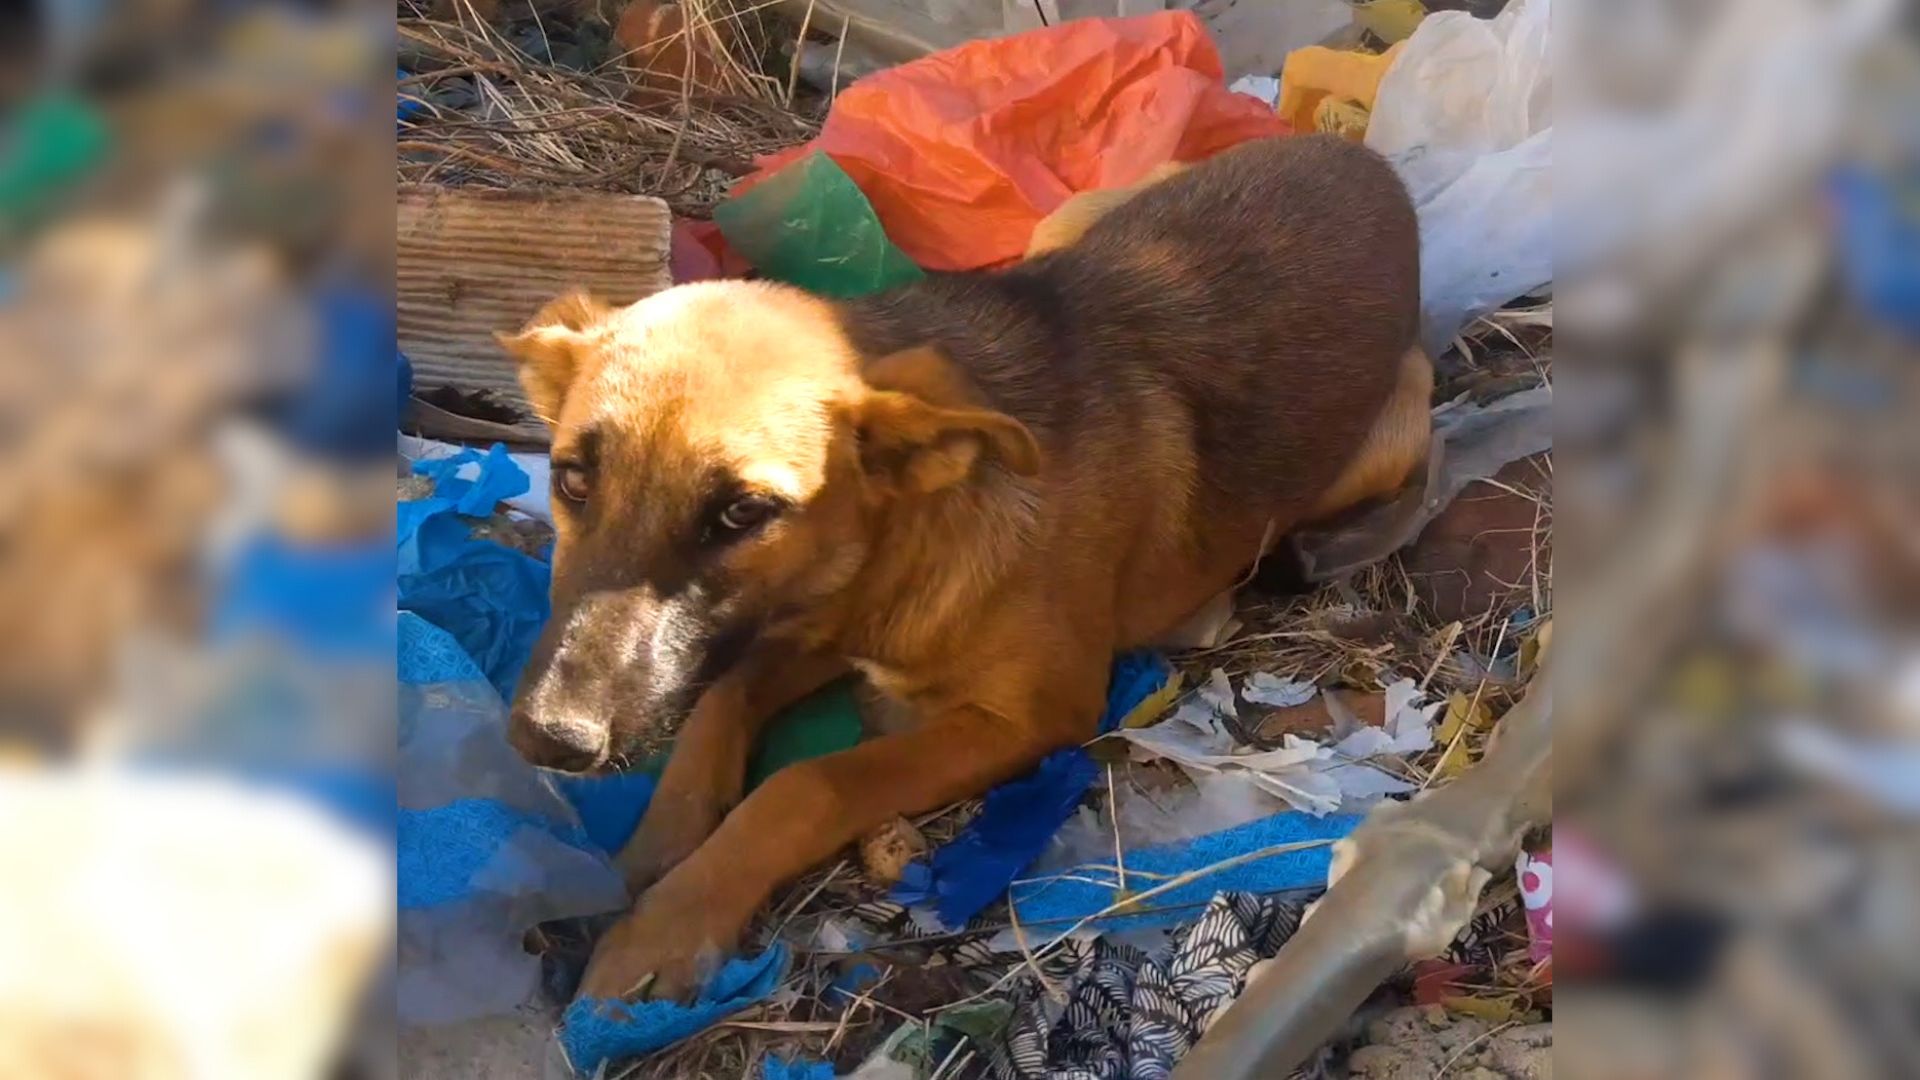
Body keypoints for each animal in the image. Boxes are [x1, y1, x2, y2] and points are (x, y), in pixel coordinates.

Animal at [495, 136, 1428, 999]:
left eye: (742, 513)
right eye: (572, 479)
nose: (549, 740)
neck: (905, 542)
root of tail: (1363, 157)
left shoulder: (1030, 718)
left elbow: (809, 783)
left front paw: (674, 921)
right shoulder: (811, 619)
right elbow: (720, 700)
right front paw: (653, 850)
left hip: (1387, 438)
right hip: (1078, 218)